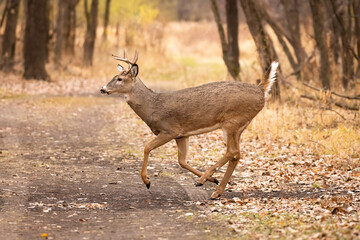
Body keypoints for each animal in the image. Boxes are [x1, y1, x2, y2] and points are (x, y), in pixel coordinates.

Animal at [100, 50, 280, 199]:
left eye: (119, 79)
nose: (102, 89)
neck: (152, 107)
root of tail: (261, 90)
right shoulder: (182, 134)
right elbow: (182, 161)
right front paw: (213, 179)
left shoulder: (170, 129)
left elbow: (147, 147)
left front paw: (147, 181)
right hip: (240, 125)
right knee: (237, 154)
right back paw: (216, 190)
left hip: (231, 122)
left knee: (232, 151)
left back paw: (203, 181)